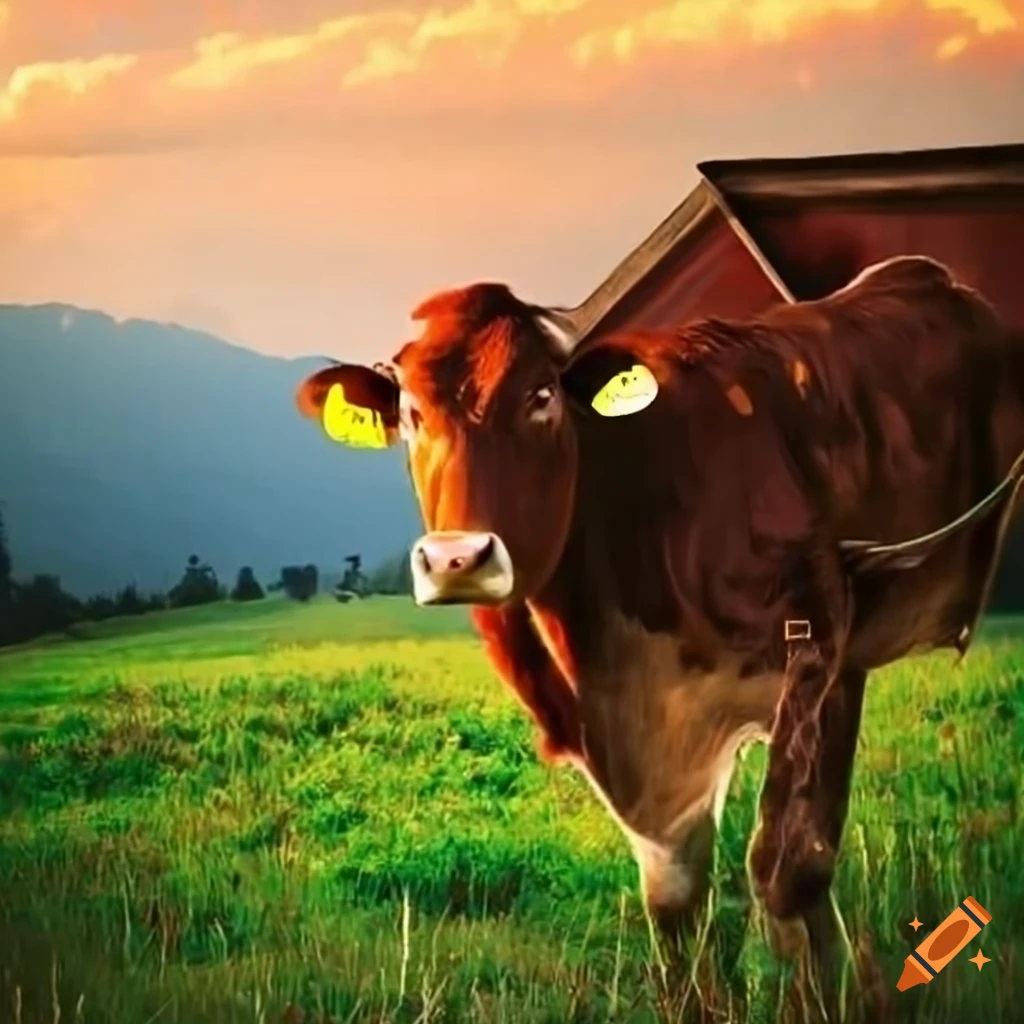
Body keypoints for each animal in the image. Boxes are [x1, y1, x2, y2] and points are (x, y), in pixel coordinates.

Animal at [296, 256, 1024, 1018]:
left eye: (541, 396)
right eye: (411, 412)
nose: (457, 559)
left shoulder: (822, 643)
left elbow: (789, 868)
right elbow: (675, 896)